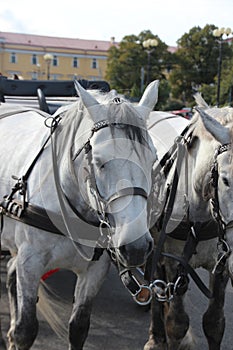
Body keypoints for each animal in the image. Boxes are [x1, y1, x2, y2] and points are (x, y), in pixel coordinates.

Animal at [0, 80, 158, 350]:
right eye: (100, 161)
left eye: (153, 159)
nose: (135, 247)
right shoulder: (30, 263)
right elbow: (25, 331)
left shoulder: (94, 272)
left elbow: (78, 328)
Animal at [145, 96, 233, 350]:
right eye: (225, 180)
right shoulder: (175, 263)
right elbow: (177, 324)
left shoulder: (221, 264)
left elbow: (214, 322)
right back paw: (156, 336)